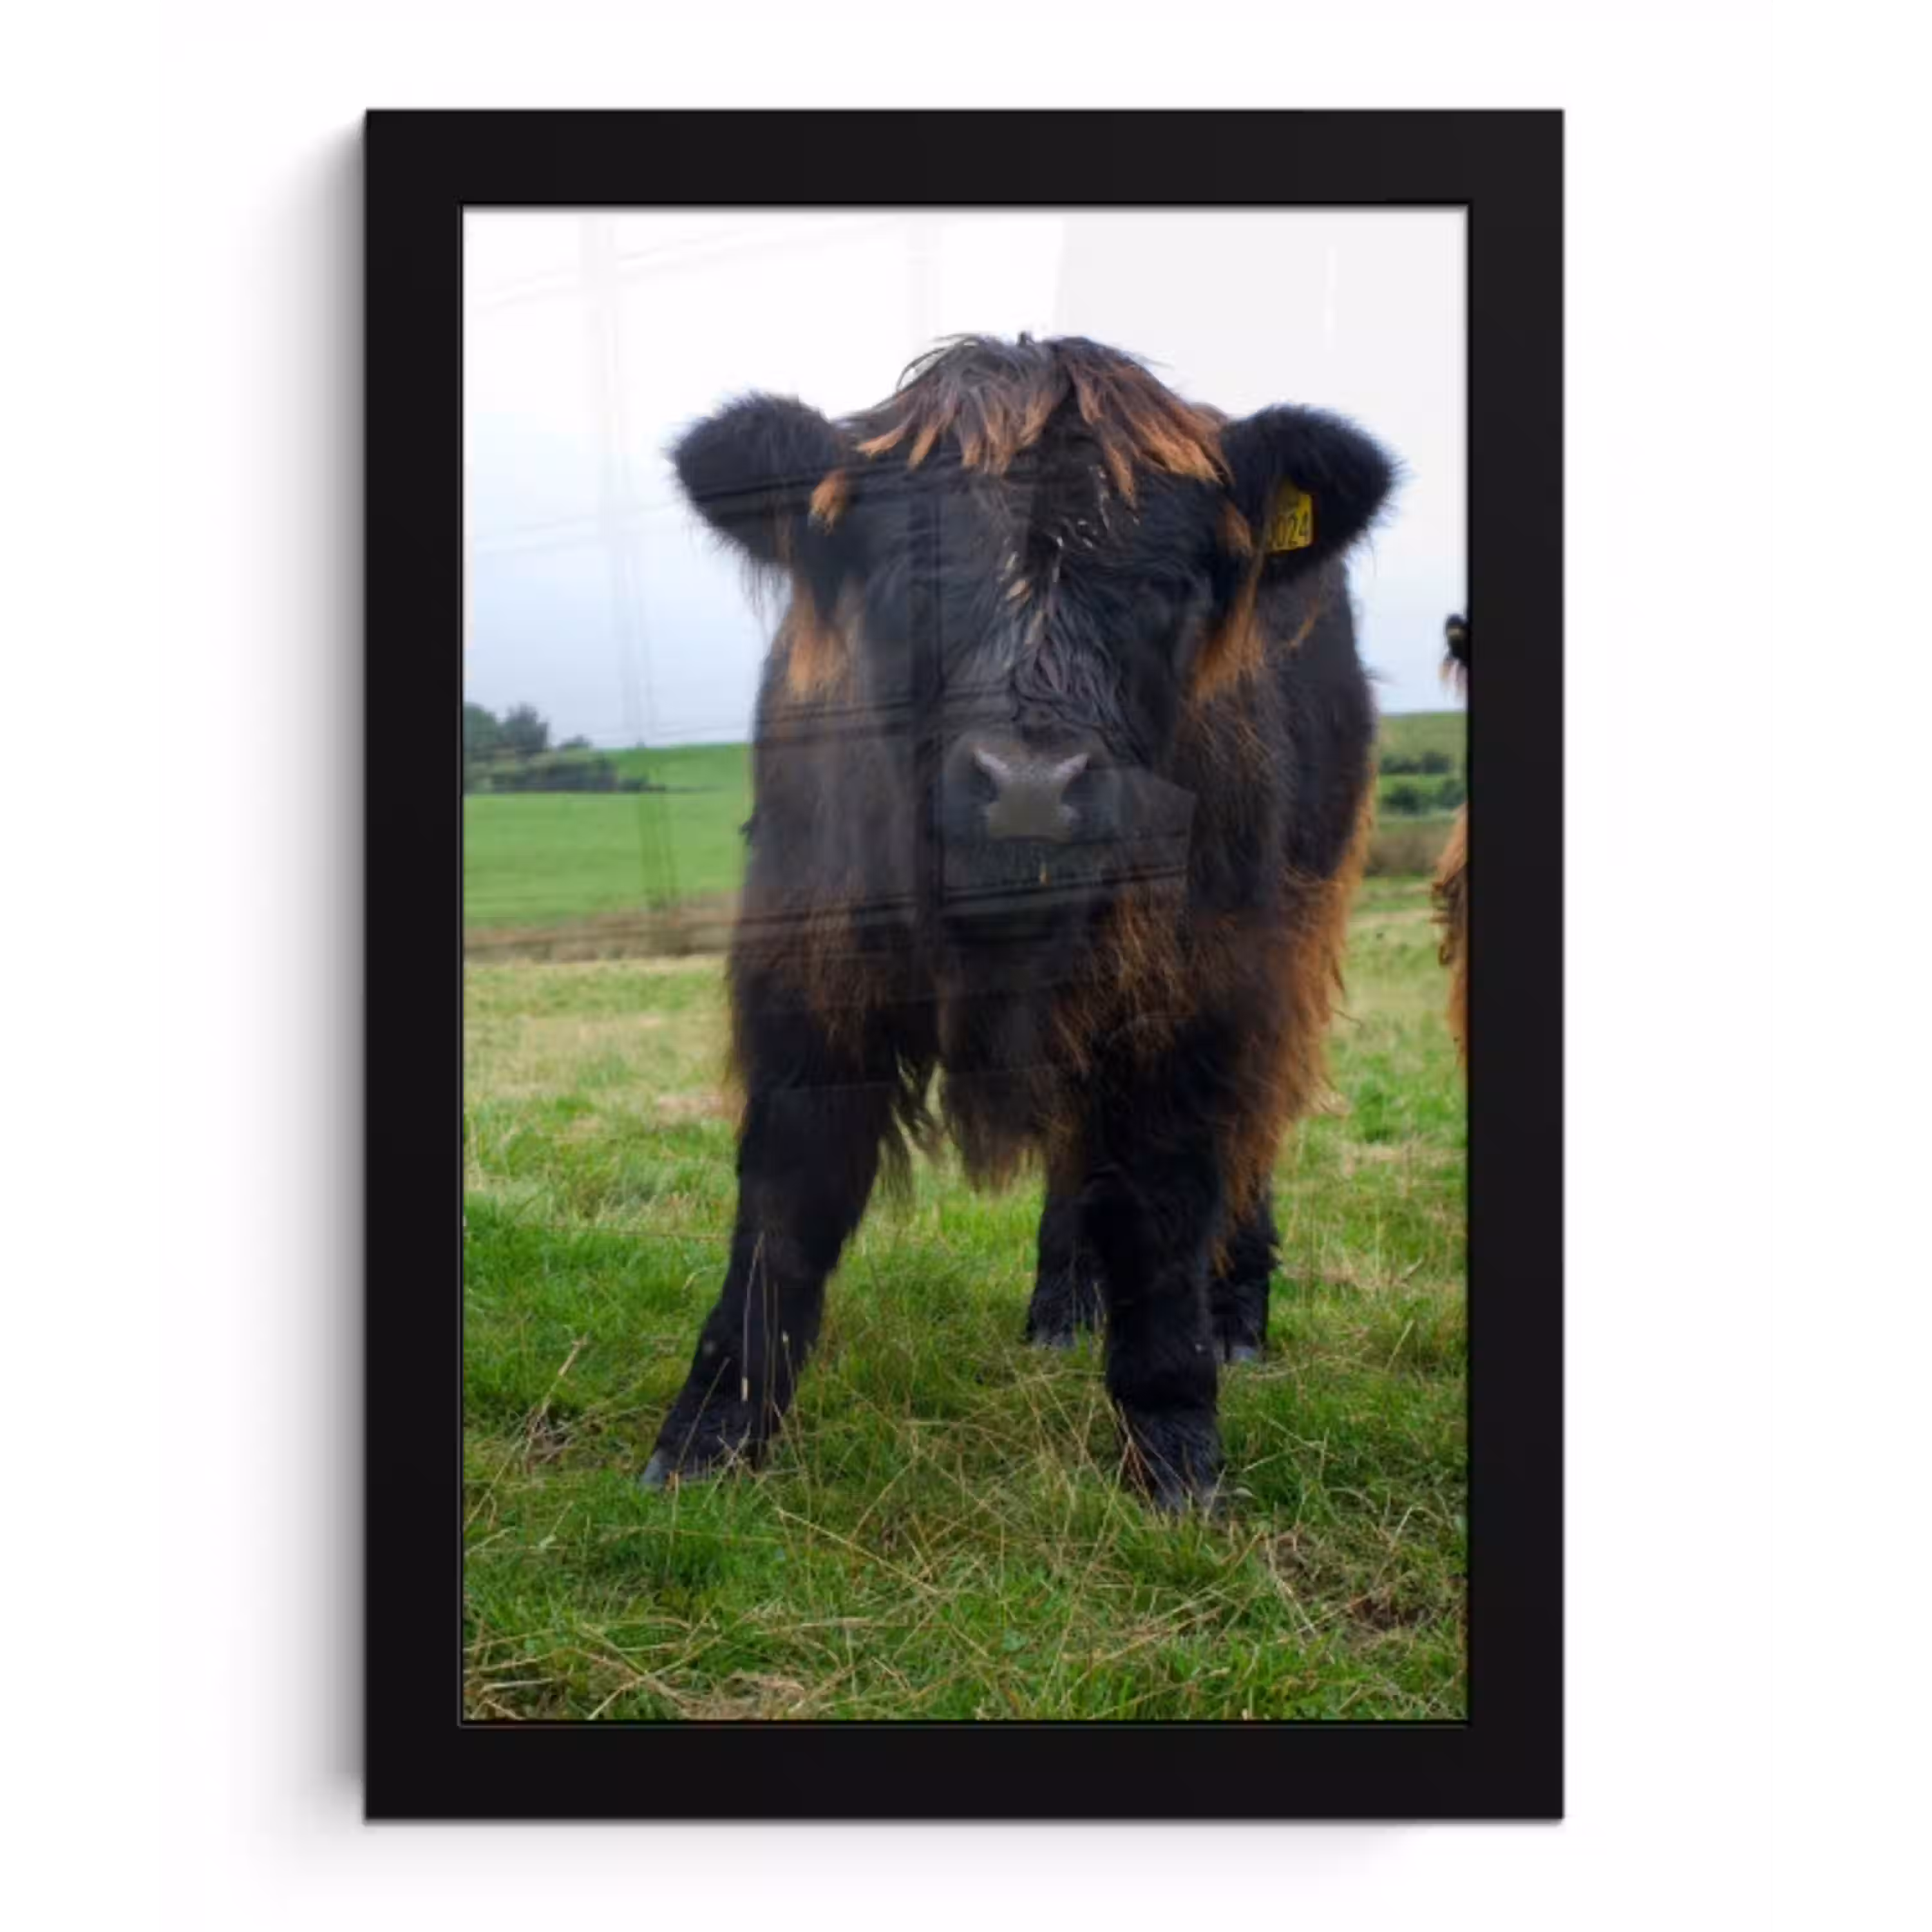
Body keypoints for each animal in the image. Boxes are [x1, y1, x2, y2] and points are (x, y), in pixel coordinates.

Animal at [642, 335, 1397, 1511]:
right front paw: (709, 1437)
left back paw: (1236, 1322)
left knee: (1251, 1137)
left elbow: (1168, 1202)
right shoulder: (808, 969)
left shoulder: (1202, 987)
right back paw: (1060, 1308)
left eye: (1171, 584)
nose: (1032, 787)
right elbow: (785, 1200)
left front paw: (1175, 1450)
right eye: (907, 575)